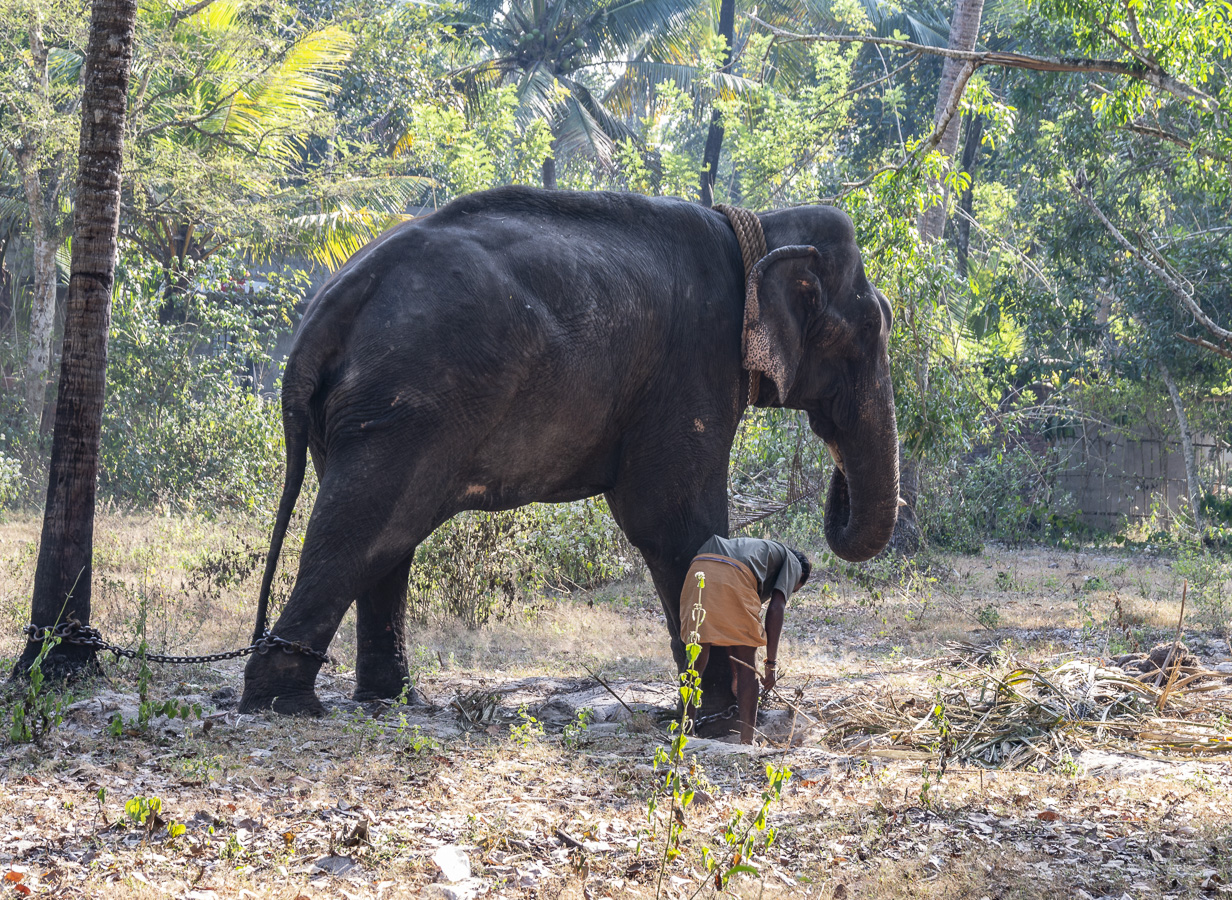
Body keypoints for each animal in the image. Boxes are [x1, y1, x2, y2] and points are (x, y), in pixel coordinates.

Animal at [238, 186, 899, 723]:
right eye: (869, 329)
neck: (755, 225)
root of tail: (329, 305)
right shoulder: (693, 365)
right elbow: (671, 519)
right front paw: (716, 716)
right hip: (410, 400)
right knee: (368, 524)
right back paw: (287, 705)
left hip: (372, 412)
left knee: (385, 538)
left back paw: (393, 700)